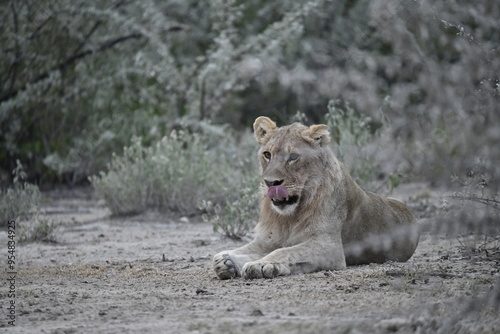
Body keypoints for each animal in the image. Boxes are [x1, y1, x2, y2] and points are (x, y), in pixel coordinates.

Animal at [211, 116, 418, 278]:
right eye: (267, 154)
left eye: (293, 157)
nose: (270, 183)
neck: (288, 217)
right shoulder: (267, 240)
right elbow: (248, 249)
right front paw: (226, 260)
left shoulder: (329, 247)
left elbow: (286, 251)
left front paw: (262, 264)